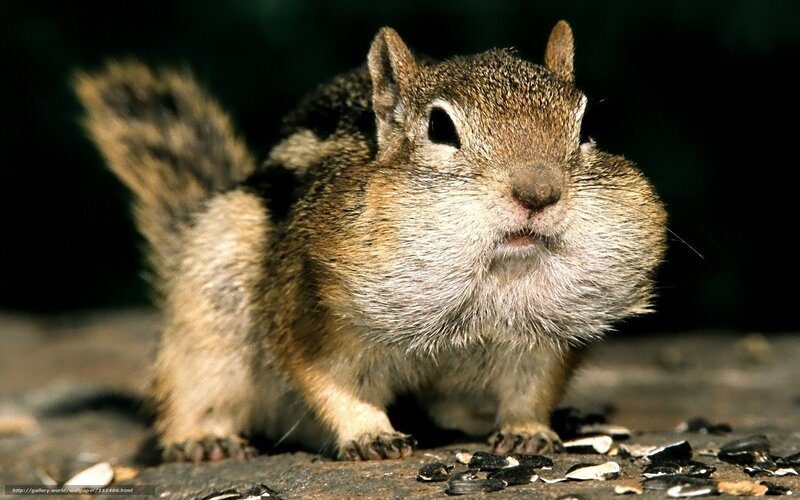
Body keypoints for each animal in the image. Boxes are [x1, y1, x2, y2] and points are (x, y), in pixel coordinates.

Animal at [74, 21, 666, 462]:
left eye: (585, 127)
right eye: (440, 129)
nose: (539, 193)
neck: (493, 274)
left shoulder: (544, 339)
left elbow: (532, 385)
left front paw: (529, 429)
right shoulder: (310, 315)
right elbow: (330, 379)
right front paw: (370, 434)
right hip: (208, 309)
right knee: (192, 386)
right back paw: (202, 439)